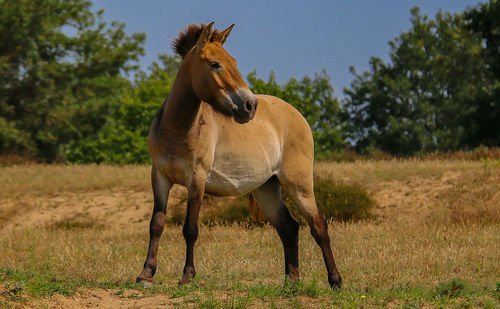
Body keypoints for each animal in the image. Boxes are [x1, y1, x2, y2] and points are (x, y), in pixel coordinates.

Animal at [135, 22, 342, 288]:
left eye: (233, 61)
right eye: (215, 64)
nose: (249, 106)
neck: (178, 129)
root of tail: (297, 115)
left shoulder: (196, 180)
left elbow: (190, 229)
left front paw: (188, 276)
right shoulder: (159, 177)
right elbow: (156, 225)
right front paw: (146, 274)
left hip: (299, 184)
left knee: (318, 226)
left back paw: (335, 281)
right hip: (267, 189)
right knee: (289, 228)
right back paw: (291, 281)